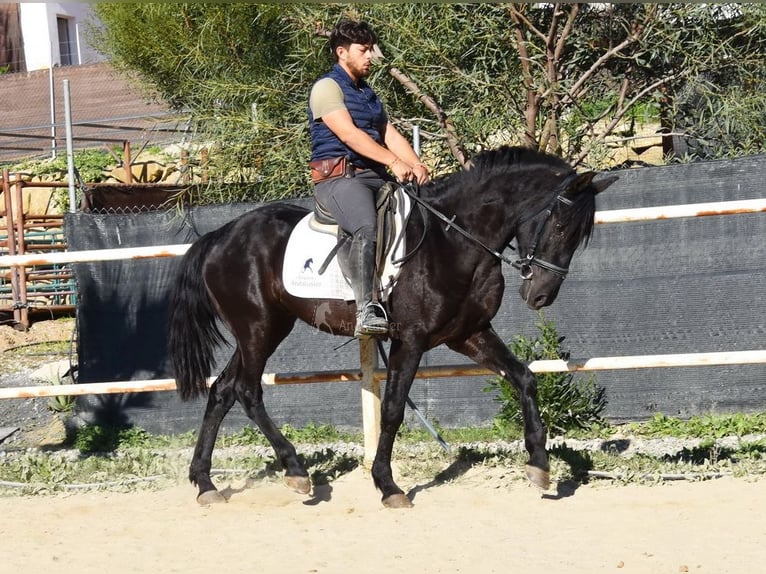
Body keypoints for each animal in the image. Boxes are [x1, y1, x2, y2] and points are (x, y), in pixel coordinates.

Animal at [168, 147, 616, 508]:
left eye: (579, 235)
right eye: (560, 226)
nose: (541, 296)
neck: (454, 240)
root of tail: (220, 235)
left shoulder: (468, 335)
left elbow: (524, 377)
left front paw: (539, 464)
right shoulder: (410, 340)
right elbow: (394, 409)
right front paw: (388, 486)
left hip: (261, 329)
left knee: (222, 390)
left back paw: (206, 484)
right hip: (259, 328)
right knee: (247, 390)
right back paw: (295, 471)